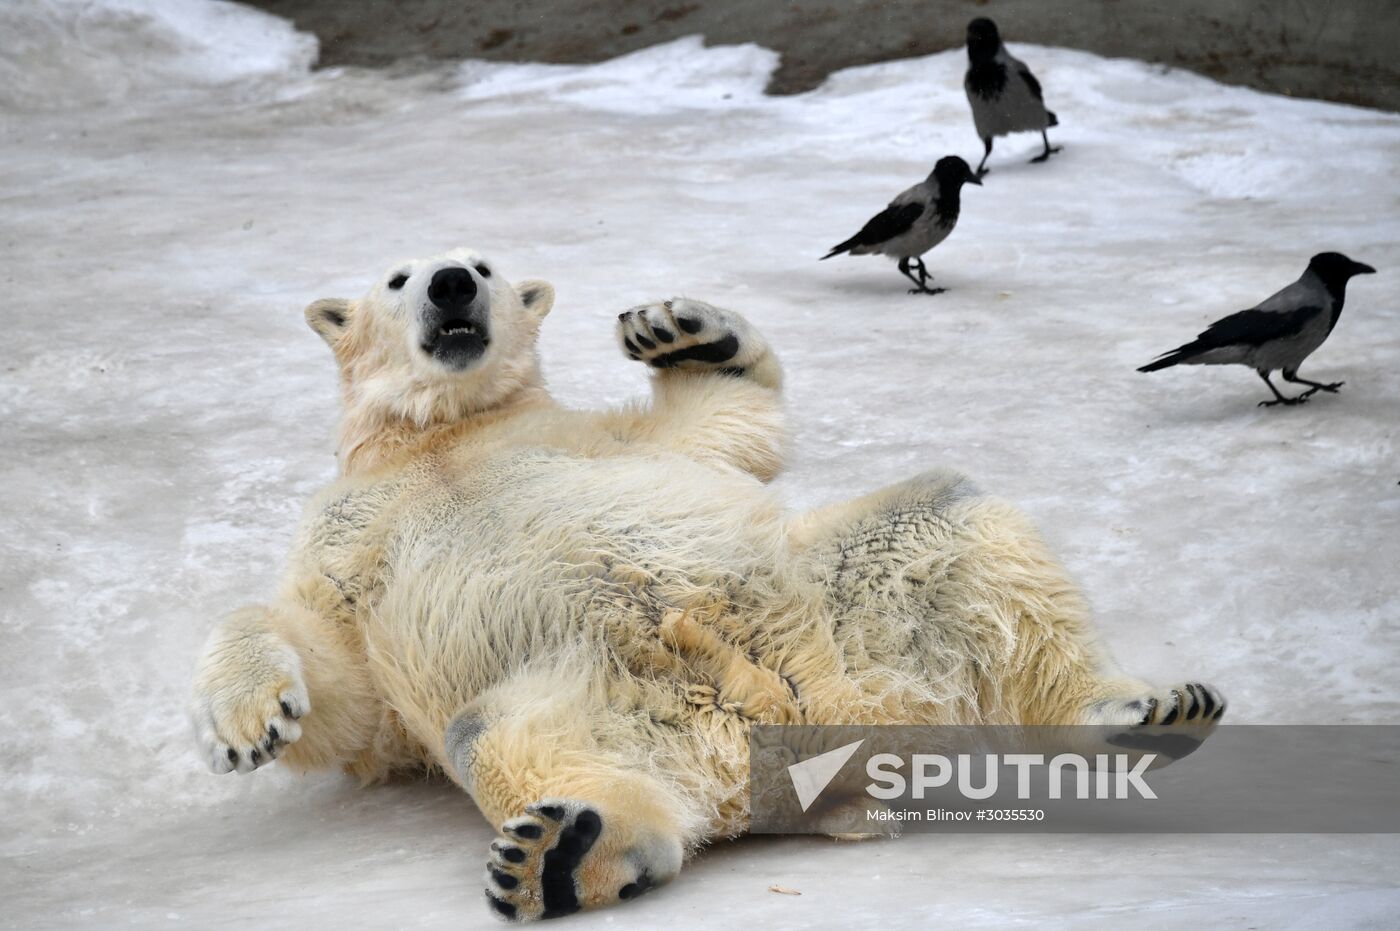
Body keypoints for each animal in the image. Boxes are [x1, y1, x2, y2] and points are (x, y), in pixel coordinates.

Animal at [189, 249, 1226, 924]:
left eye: (480, 261)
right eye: (401, 279)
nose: (451, 282)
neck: (443, 437)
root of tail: (810, 727)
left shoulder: (597, 439)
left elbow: (729, 420)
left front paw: (676, 326)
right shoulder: (347, 539)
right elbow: (344, 689)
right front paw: (250, 724)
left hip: (848, 596)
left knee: (955, 513)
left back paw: (1141, 707)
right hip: (601, 691)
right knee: (499, 733)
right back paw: (564, 851)